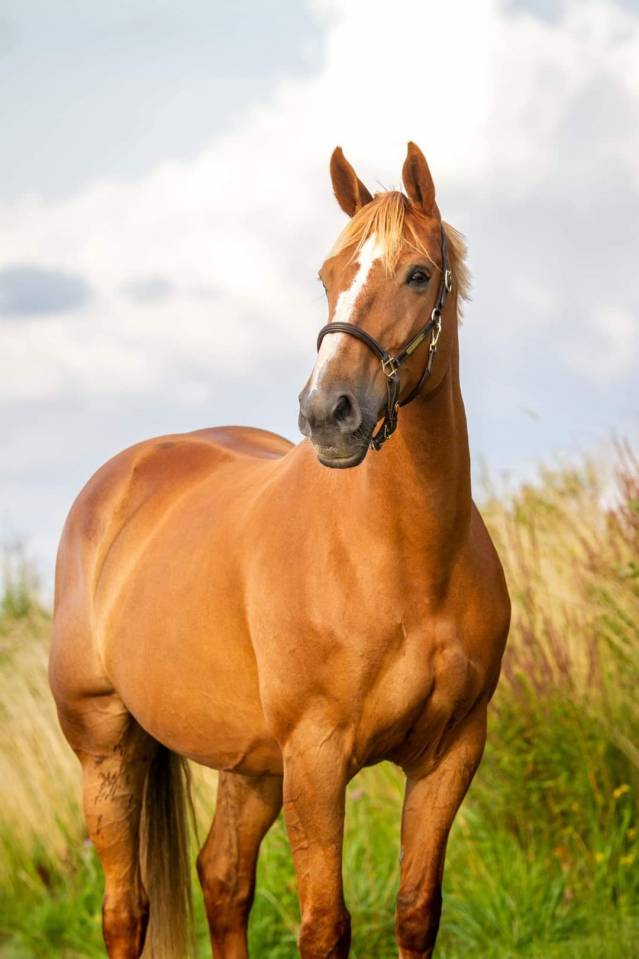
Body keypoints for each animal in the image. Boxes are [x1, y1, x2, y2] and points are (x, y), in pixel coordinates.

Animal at [50, 141, 510, 959]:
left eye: (418, 274)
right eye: (327, 275)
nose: (329, 413)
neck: (404, 560)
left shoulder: (451, 752)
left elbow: (416, 909)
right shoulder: (317, 760)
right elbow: (325, 926)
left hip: (250, 763)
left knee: (223, 876)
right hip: (105, 746)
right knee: (125, 908)